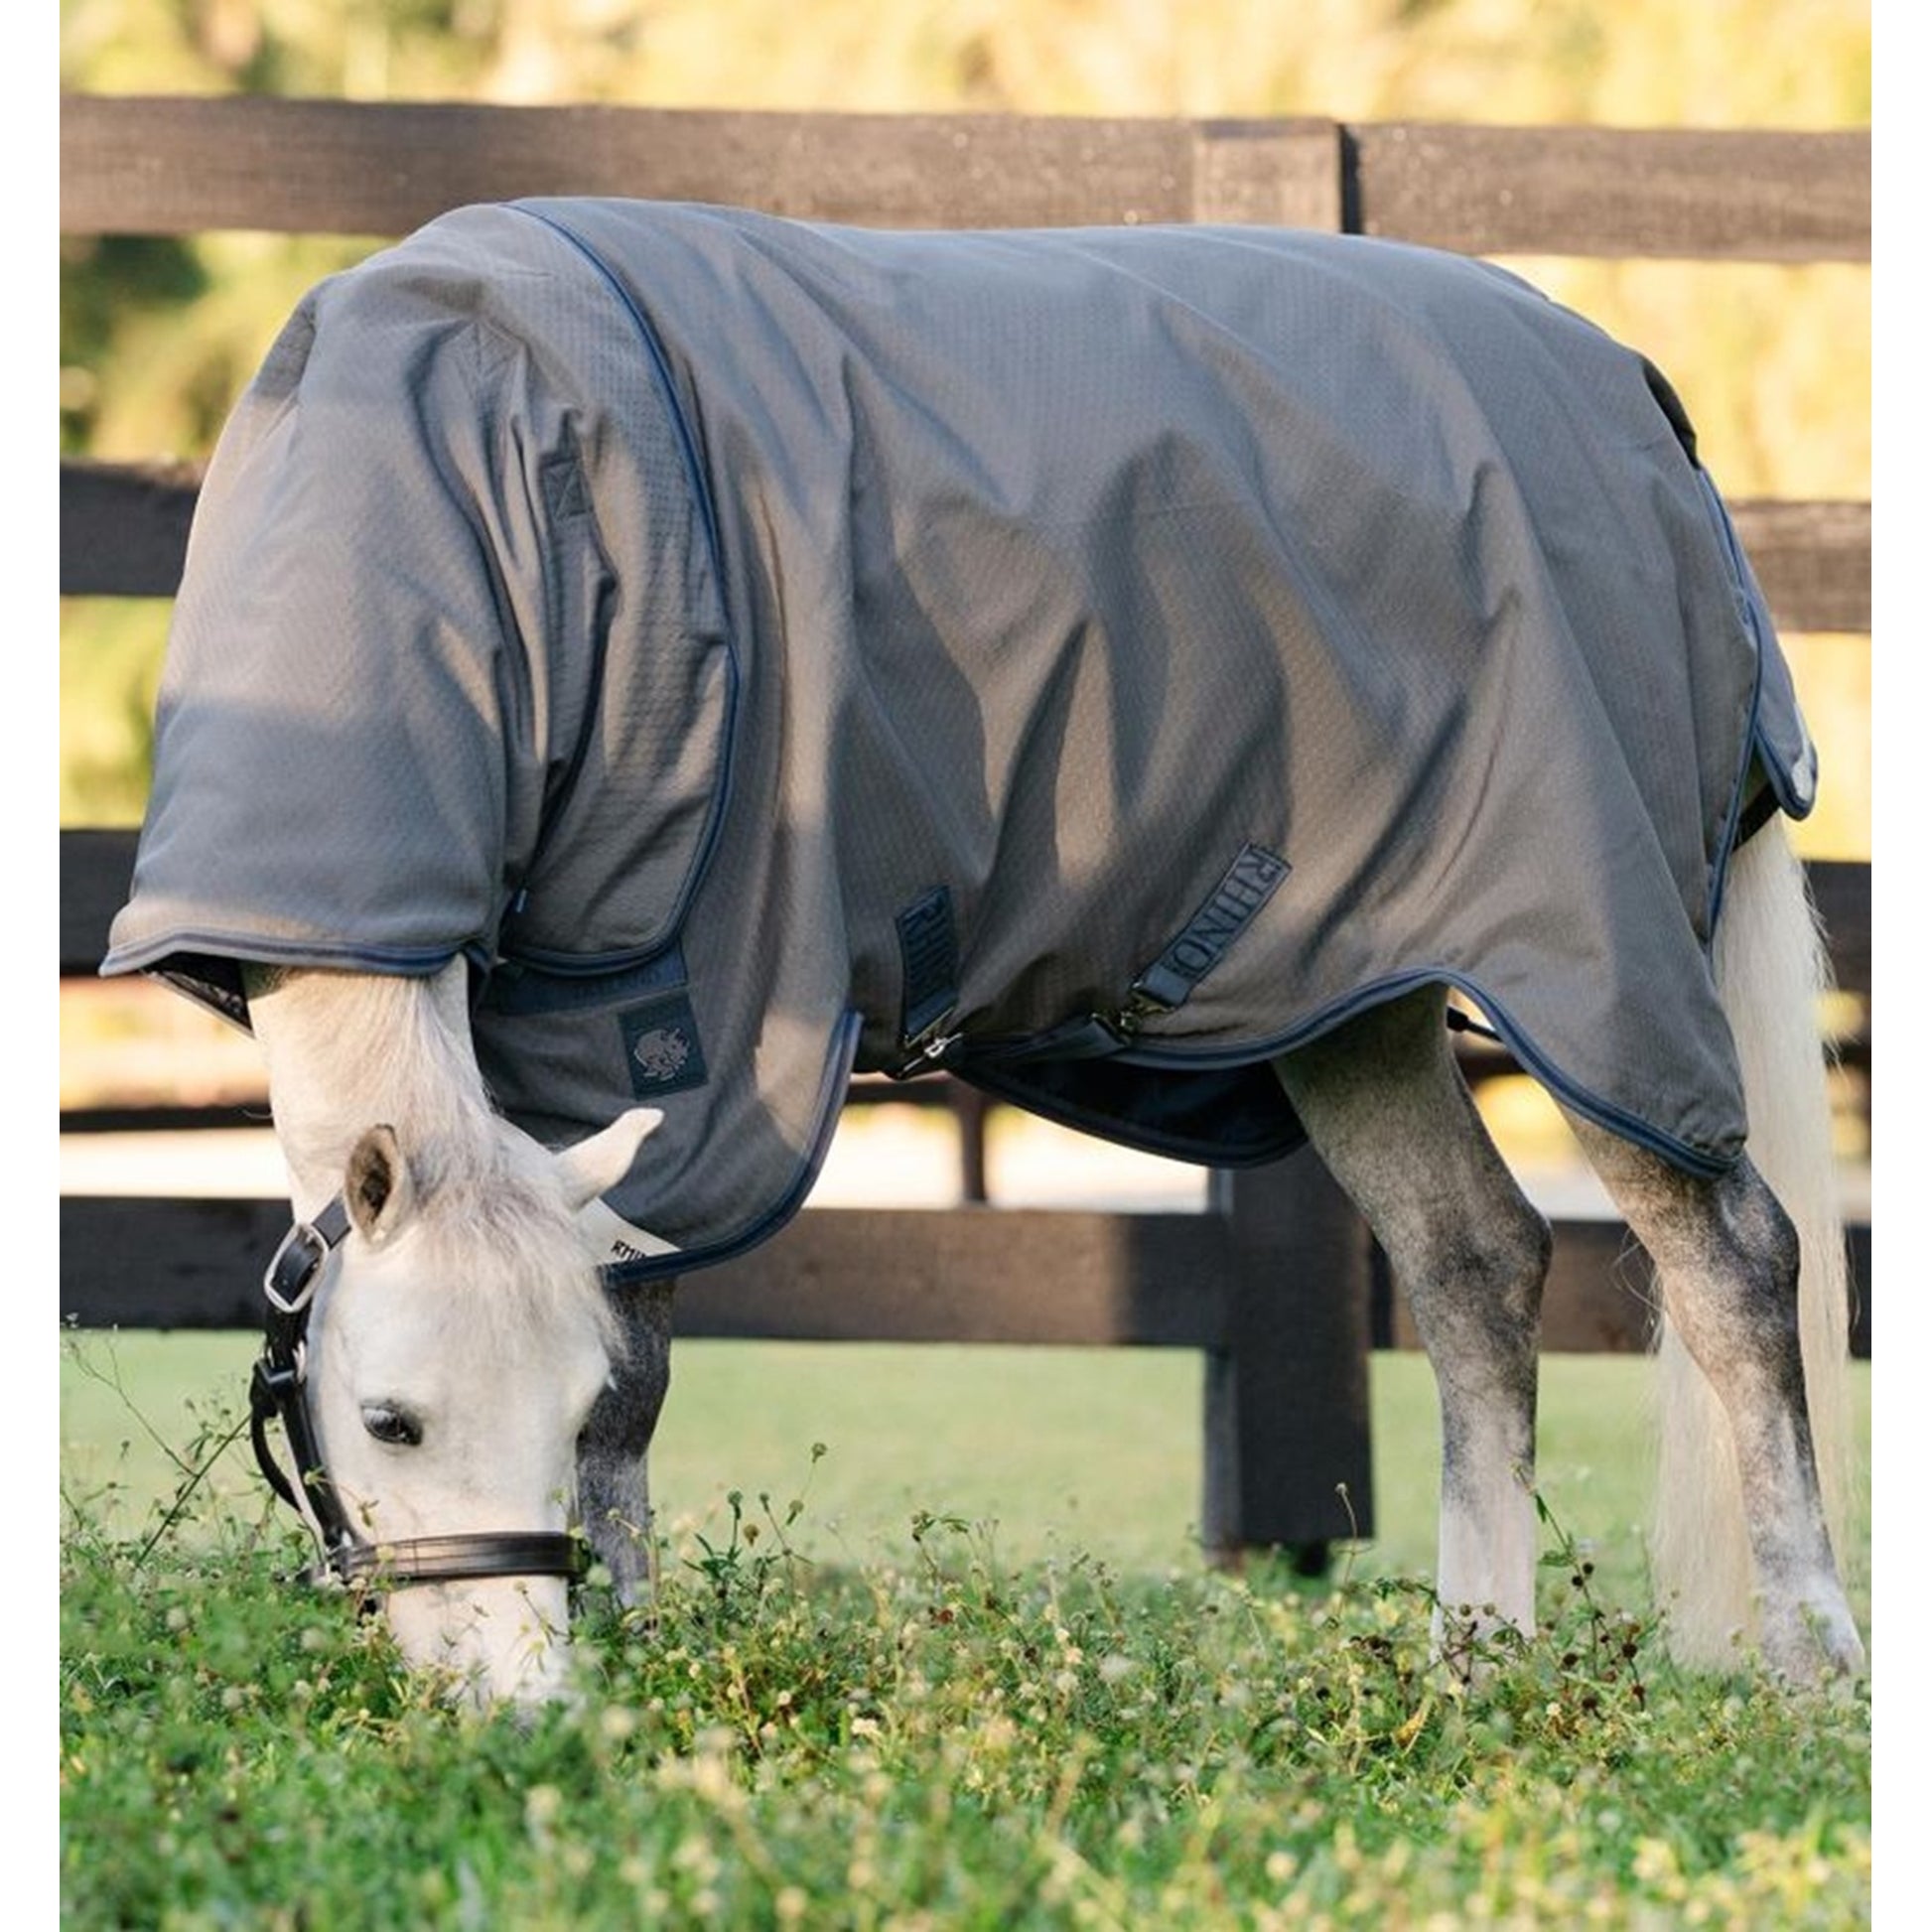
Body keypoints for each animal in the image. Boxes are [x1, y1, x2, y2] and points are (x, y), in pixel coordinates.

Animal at [105, 200, 1866, 1706]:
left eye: (524, 1406)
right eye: (389, 1419)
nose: (517, 1704)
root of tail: (1637, 401)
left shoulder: (678, 1005)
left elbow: (642, 1365)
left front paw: (644, 1646)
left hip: (1588, 951)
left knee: (1733, 1259)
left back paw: (1804, 1661)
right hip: (1352, 985)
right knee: (1472, 1267)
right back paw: (1473, 1664)